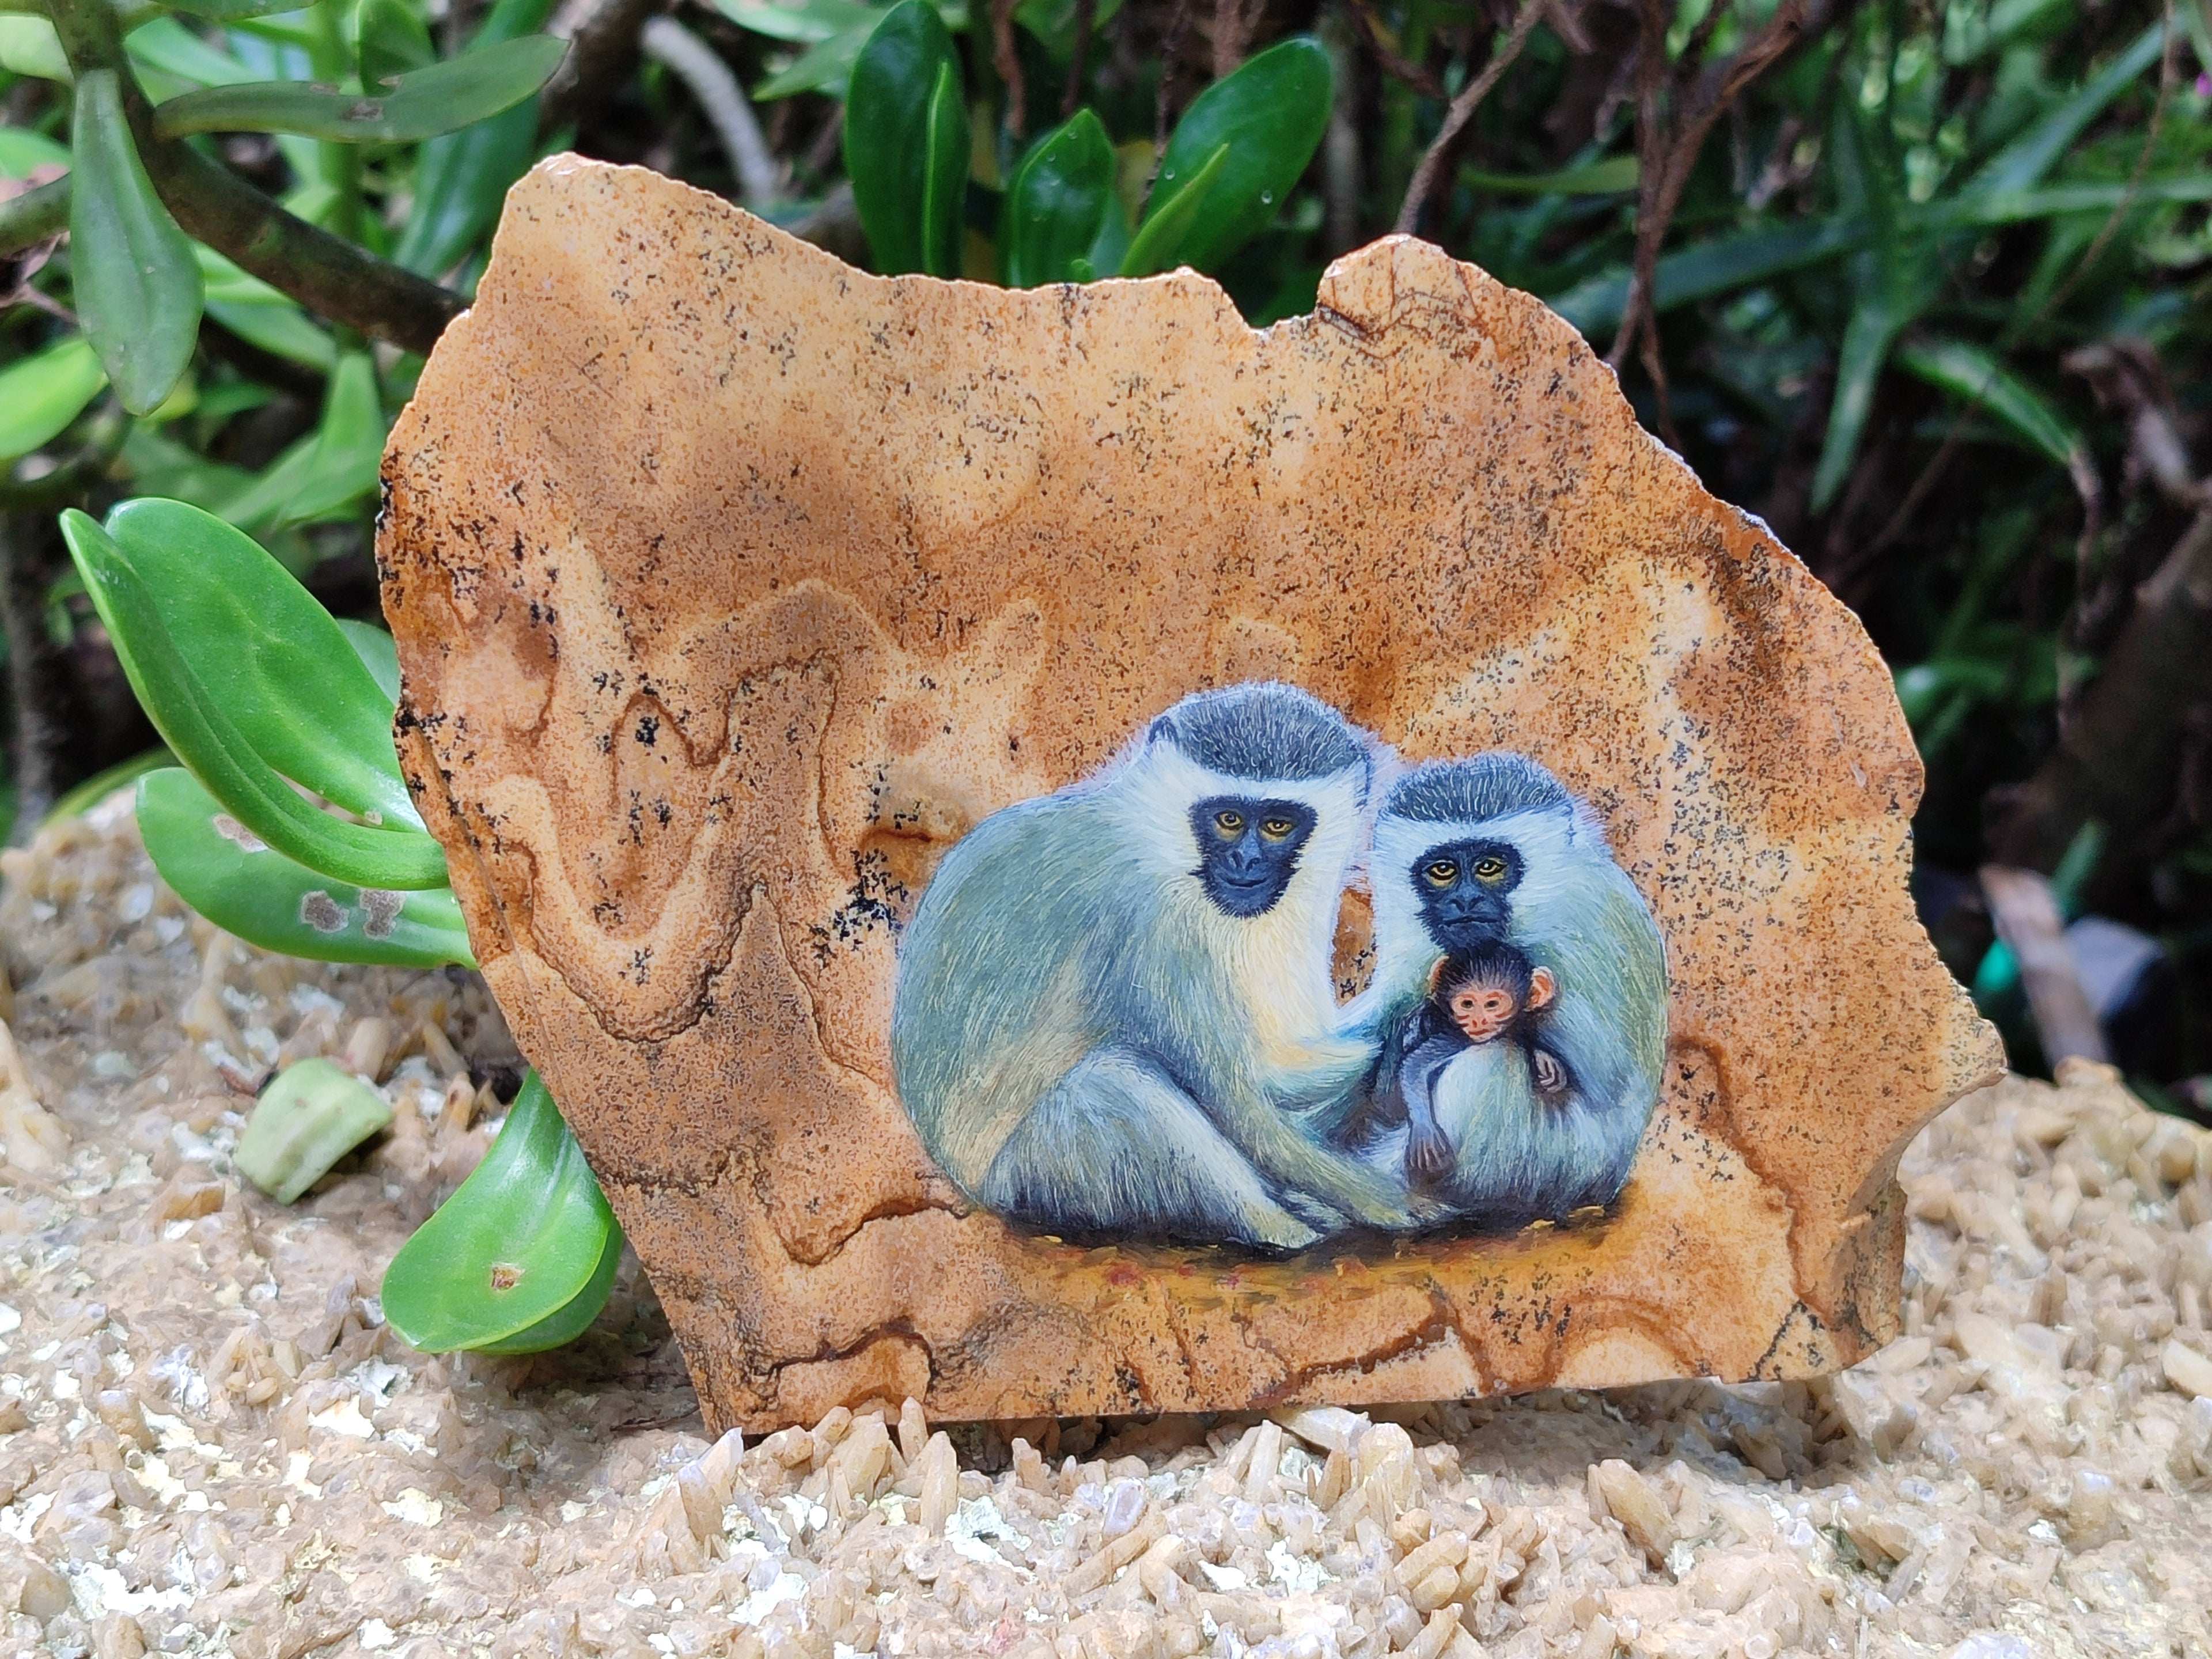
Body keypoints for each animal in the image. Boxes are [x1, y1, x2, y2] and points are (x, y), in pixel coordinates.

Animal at [889, 681, 1416, 1252]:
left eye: (1278, 825)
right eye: (1229, 820)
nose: (1247, 862)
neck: (1163, 846)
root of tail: (976, 1191)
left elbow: (1286, 1065)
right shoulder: (1153, 926)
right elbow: (1243, 1105)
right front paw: (1394, 1202)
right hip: (1043, 1175)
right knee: (1113, 1082)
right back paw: (1276, 1227)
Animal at [1331, 752, 1668, 1232]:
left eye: (1490, 867)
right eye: (1443, 871)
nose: (1466, 902)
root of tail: (1608, 1183)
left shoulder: (1580, 921)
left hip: (1551, 1163)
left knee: (1493, 1060)